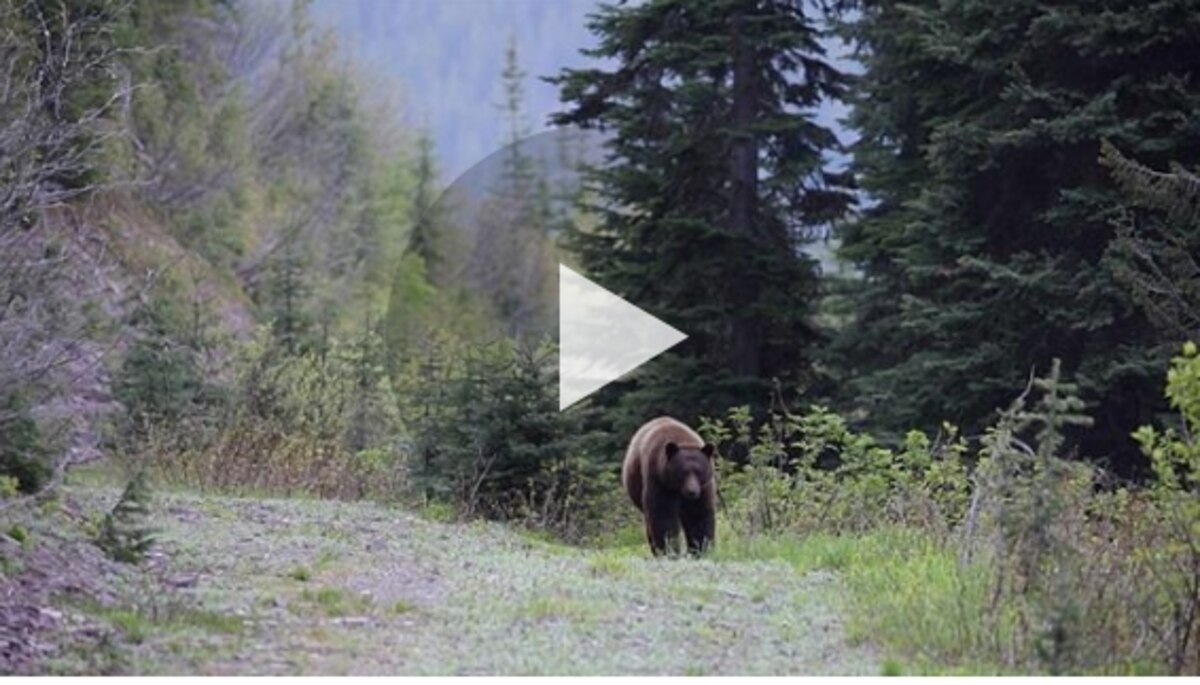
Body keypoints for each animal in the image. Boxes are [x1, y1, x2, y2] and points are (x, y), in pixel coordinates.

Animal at [621, 416, 717, 556]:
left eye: (699, 471)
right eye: (683, 472)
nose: (692, 491)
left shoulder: (704, 488)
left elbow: (698, 515)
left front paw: (700, 549)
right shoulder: (659, 481)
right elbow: (663, 517)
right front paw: (670, 550)